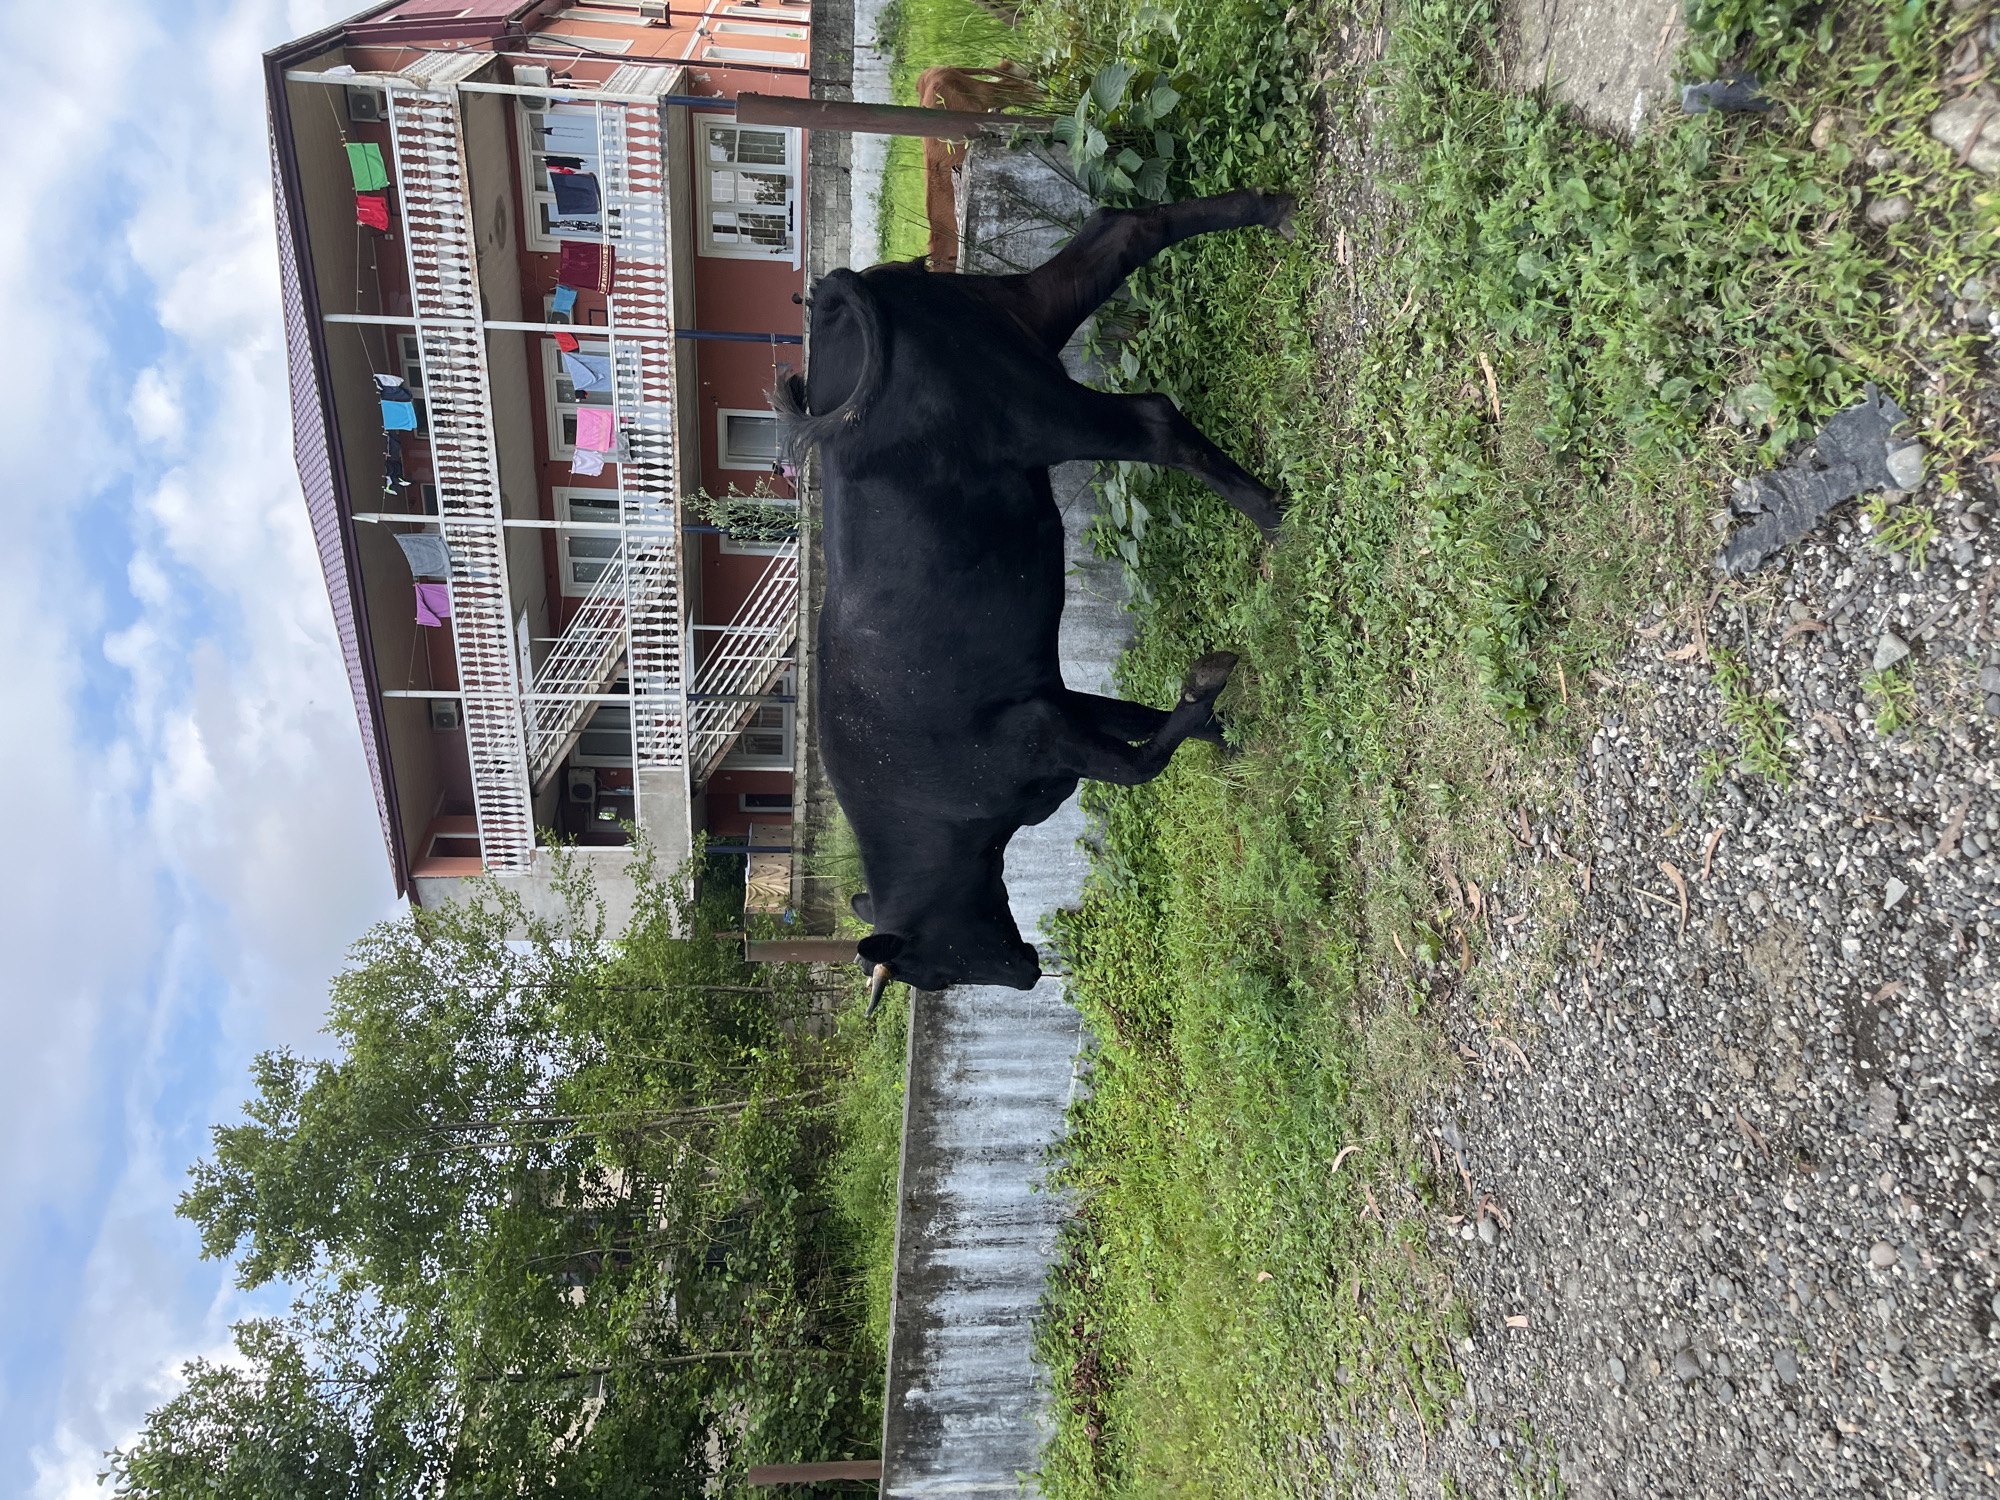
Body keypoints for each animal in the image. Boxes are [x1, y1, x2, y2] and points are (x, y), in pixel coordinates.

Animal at [775, 190, 1295, 1007]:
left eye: (936, 971)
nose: (1026, 974)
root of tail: (840, 290)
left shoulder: (1044, 732)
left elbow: (1143, 763)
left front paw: (1205, 691)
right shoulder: (1057, 702)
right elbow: (1140, 723)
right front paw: (1228, 735)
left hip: (1035, 414)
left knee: (1153, 420)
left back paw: (1270, 512)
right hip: (1022, 319)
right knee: (1123, 228)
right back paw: (1272, 209)